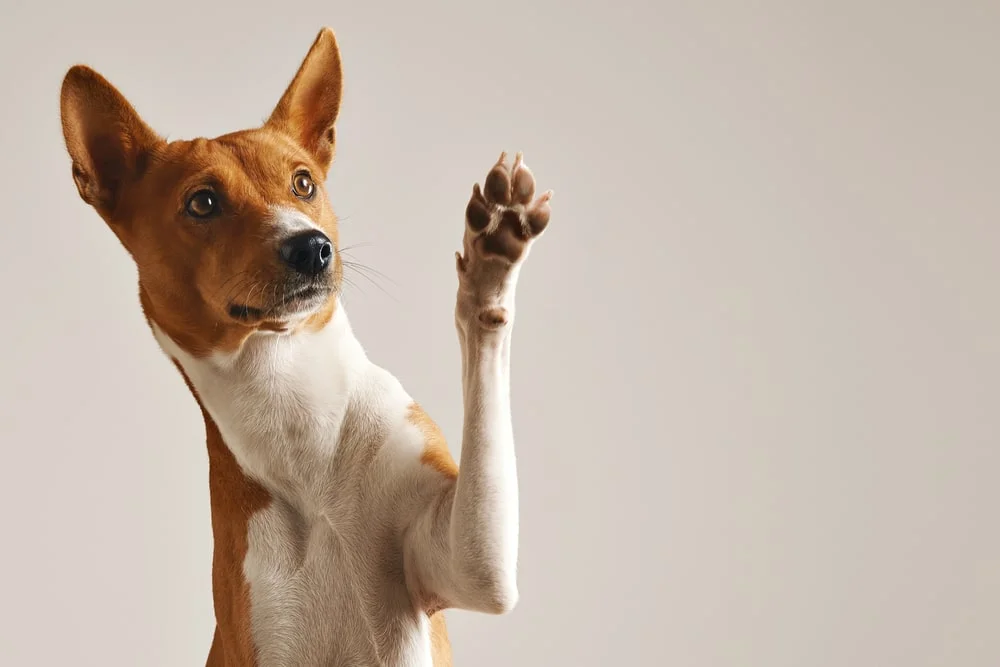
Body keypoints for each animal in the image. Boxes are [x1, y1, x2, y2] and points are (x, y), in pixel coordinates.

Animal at [60, 26, 556, 667]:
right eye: (203, 202)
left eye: (303, 183)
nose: (311, 246)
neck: (298, 423)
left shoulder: (468, 562)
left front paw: (494, 254)